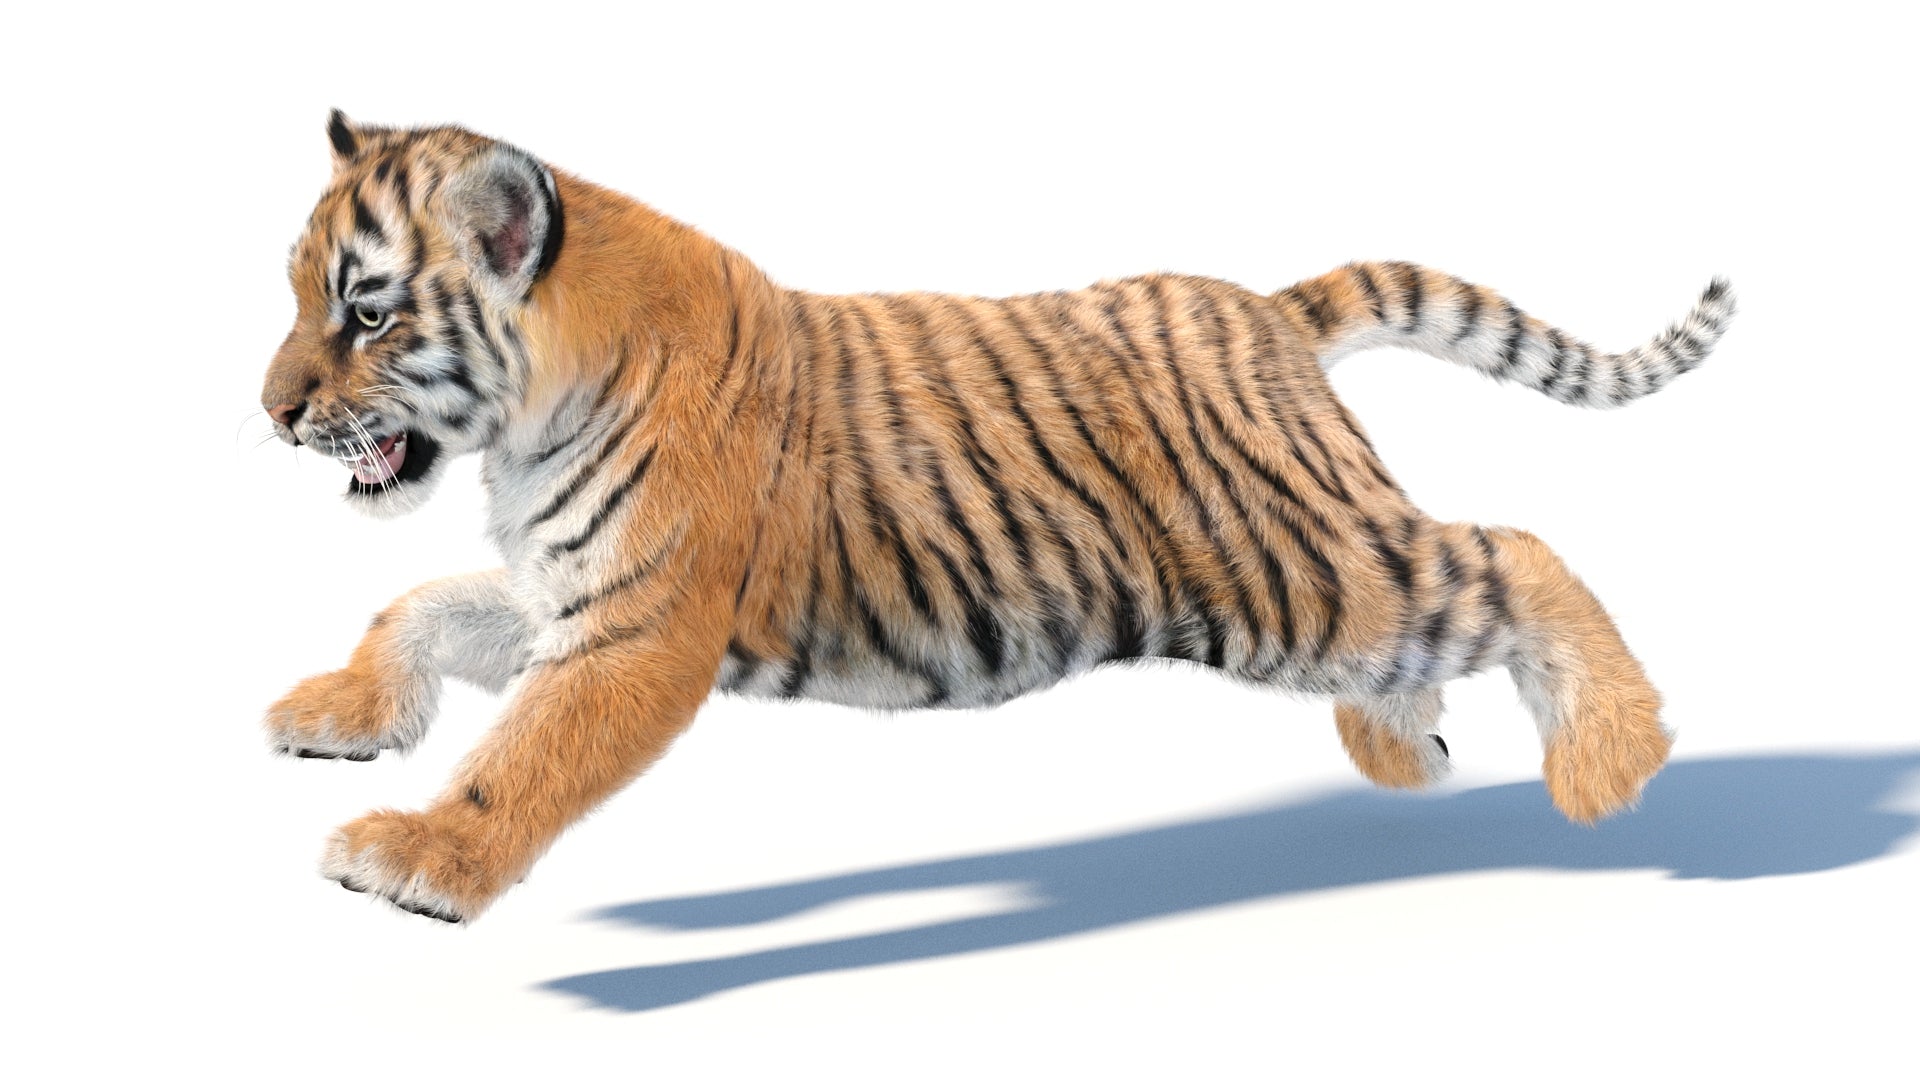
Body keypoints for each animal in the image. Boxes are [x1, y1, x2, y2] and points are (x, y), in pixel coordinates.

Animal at [260, 111, 1734, 923]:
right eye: (298, 293)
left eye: (367, 312)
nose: (270, 412)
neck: (526, 422)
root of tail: (1262, 308)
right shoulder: (567, 593)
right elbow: (415, 607)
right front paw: (329, 715)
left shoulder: (640, 631)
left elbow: (526, 754)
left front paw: (418, 856)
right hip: (1318, 583)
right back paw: (1408, 749)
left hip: (1296, 581)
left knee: (1514, 555)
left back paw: (1612, 764)